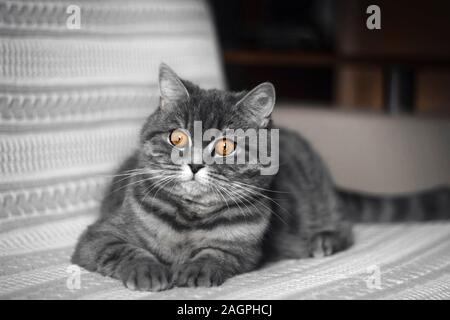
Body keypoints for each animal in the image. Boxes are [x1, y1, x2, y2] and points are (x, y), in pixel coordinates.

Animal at [72, 63, 448, 292]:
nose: (194, 165)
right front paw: (148, 270)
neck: (191, 219)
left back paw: (322, 240)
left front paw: (196, 269)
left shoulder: (244, 250)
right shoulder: (98, 235)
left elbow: (216, 253)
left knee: (345, 228)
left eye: (225, 145)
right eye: (177, 137)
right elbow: (124, 250)